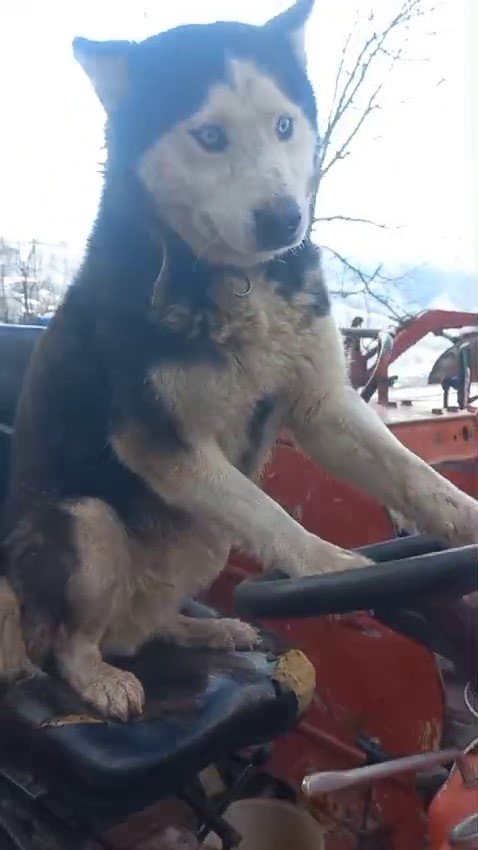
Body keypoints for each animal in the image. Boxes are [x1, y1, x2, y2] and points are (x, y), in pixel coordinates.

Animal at [1, 0, 476, 720]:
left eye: (283, 125)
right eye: (209, 136)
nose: (285, 218)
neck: (233, 278)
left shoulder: (321, 405)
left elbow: (414, 474)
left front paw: (466, 515)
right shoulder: (157, 441)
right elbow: (268, 511)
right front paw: (331, 567)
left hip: (204, 541)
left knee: (139, 627)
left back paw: (200, 627)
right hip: (86, 524)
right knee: (70, 642)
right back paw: (101, 678)